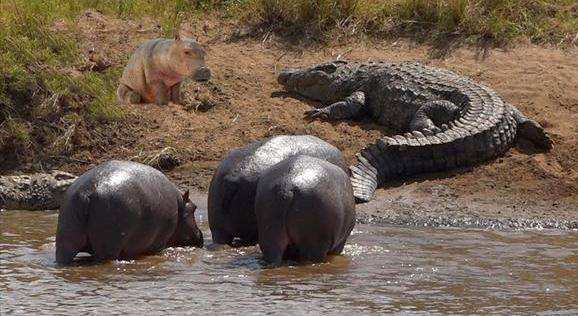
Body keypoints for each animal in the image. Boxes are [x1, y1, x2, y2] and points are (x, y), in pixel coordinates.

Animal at [54, 159, 202, 266]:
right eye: (194, 207)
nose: (200, 235)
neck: (180, 205)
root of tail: (87, 191)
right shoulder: (160, 242)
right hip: (108, 246)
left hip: (65, 239)